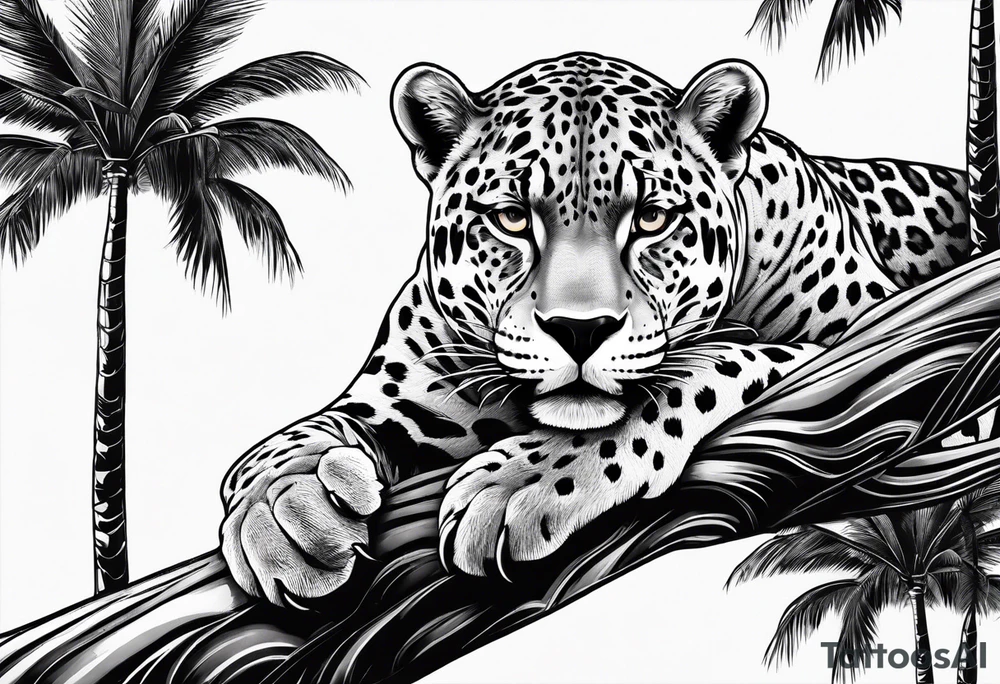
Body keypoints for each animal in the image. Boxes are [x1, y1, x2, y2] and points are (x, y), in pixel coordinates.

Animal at [219, 53, 975, 605]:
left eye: (652, 218)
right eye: (511, 216)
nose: (578, 331)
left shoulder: (897, 356)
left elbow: (708, 364)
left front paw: (521, 483)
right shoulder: (402, 395)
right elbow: (298, 436)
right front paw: (283, 514)